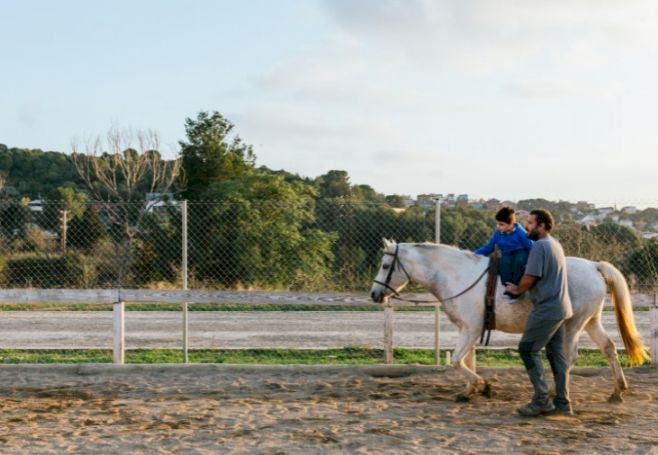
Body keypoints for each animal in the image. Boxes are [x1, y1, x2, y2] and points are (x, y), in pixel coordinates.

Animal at [366, 240, 648, 400]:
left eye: (384, 265)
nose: (374, 294)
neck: (457, 276)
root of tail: (593, 266)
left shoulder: (471, 329)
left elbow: (456, 361)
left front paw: (481, 385)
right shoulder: (469, 329)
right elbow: (466, 361)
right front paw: (470, 391)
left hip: (574, 325)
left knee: (570, 357)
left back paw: (555, 391)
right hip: (591, 321)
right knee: (609, 348)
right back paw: (618, 390)